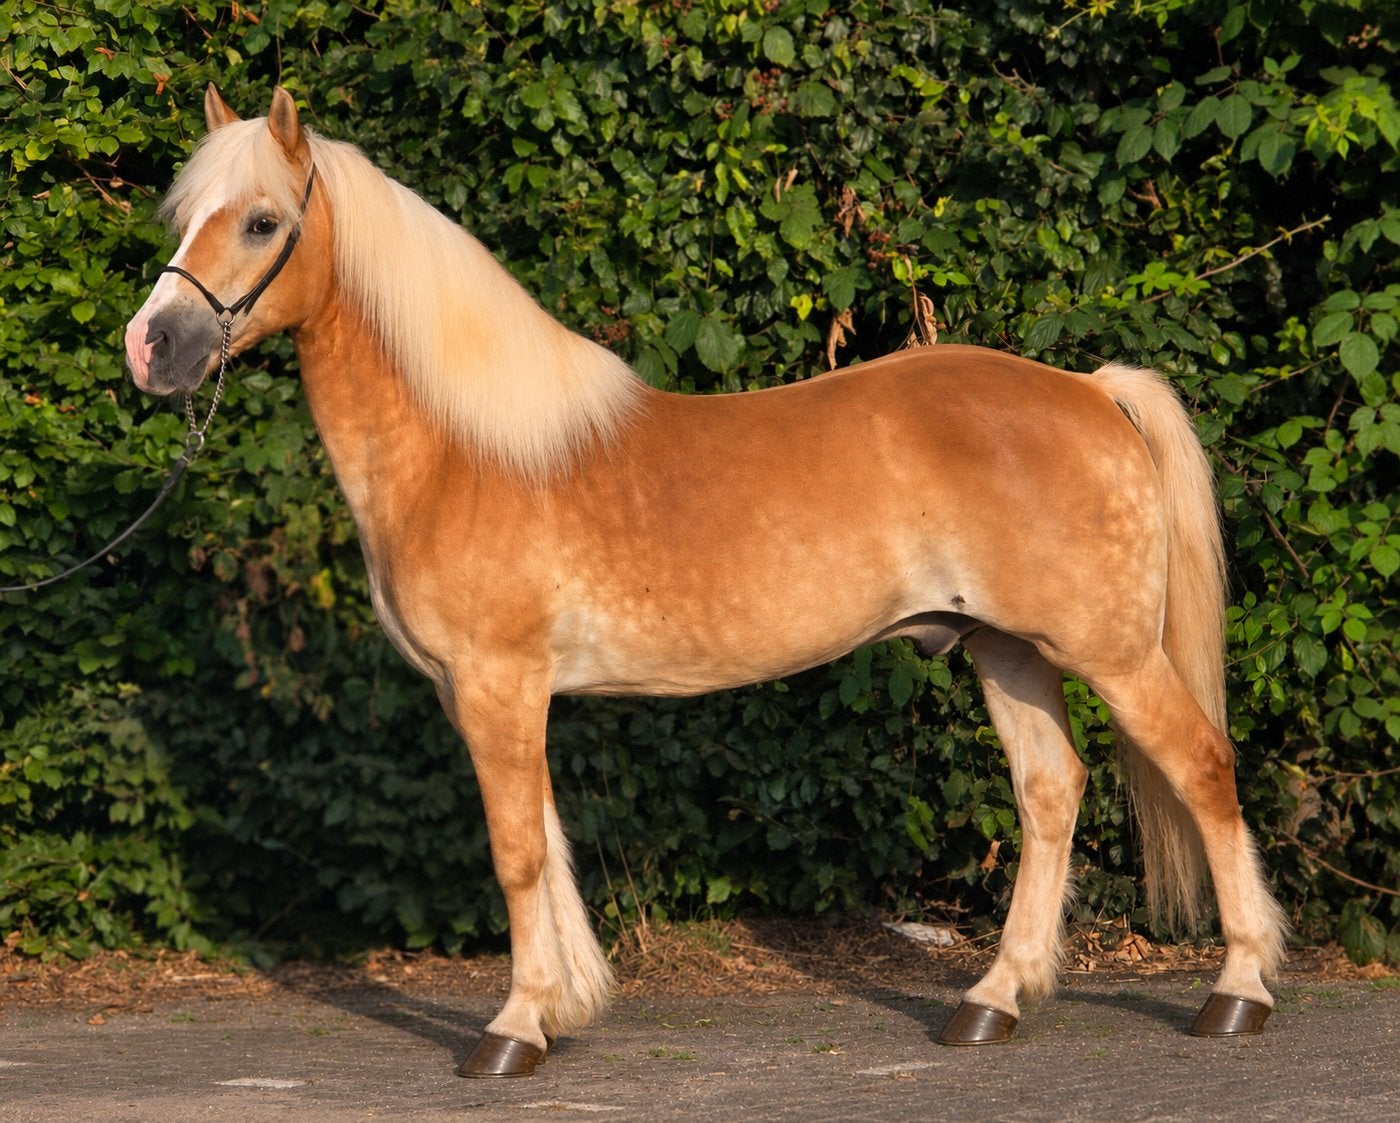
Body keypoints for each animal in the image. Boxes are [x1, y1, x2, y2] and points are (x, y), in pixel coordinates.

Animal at [125, 86, 1288, 1077]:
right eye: (186, 216)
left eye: (262, 222)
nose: (152, 347)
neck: (471, 452)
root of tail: (1090, 390)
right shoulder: (492, 695)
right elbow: (545, 840)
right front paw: (561, 1005)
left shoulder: (499, 685)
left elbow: (515, 853)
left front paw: (513, 1028)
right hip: (1005, 652)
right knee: (1050, 793)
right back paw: (990, 1001)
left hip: (1111, 652)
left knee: (1200, 765)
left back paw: (1235, 991)